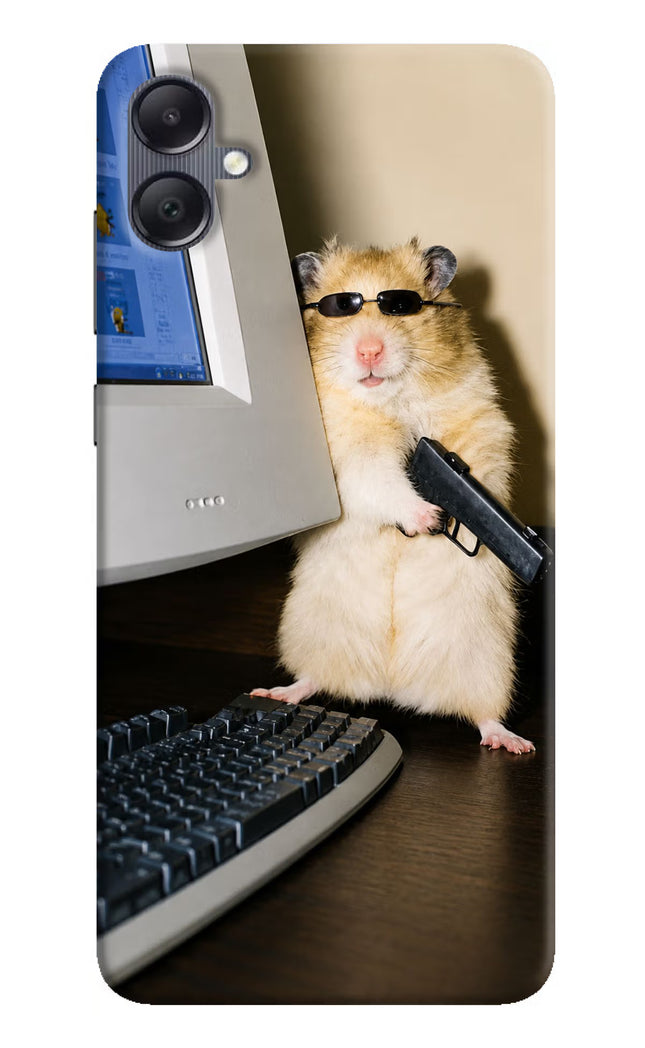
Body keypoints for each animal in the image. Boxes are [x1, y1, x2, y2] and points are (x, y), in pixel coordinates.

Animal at [252, 237, 534, 754]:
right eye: (340, 307)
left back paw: (512, 742)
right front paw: (428, 518)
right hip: (311, 632)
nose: (369, 351)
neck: (389, 400)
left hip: (487, 660)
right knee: (313, 679)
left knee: (484, 714)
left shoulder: (481, 424)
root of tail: (393, 686)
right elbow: (380, 481)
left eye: (401, 306)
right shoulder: (348, 457)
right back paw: (276, 692)